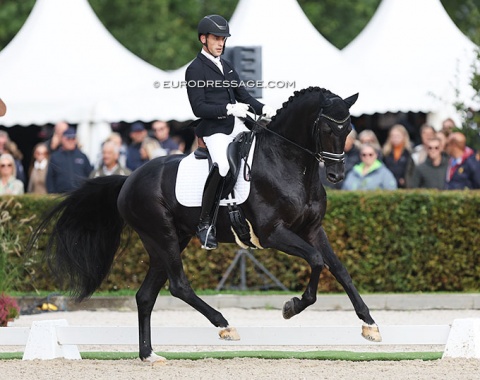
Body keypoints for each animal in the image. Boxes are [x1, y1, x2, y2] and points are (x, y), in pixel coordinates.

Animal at [30, 86, 382, 362]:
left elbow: (339, 269)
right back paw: (224, 325)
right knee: (178, 285)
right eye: (327, 129)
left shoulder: (312, 230)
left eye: (349, 129)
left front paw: (370, 324)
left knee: (146, 295)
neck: (289, 163)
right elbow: (317, 260)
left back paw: (149, 355)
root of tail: (129, 178)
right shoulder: (273, 234)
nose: (336, 175)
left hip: (168, 240)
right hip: (162, 236)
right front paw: (292, 307)